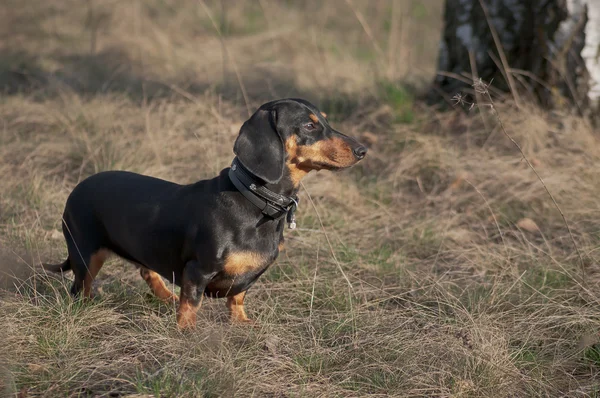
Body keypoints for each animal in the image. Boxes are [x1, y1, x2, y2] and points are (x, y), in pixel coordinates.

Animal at [44, 98, 366, 328]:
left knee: (146, 268)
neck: (255, 200)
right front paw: (188, 333)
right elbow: (191, 304)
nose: (363, 150)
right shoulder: (197, 270)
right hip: (86, 255)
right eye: (309, 126)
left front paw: (241, 322)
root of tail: (78, 187)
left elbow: (237, 297)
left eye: (325, 120)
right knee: (79, 287)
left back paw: (165, 295)